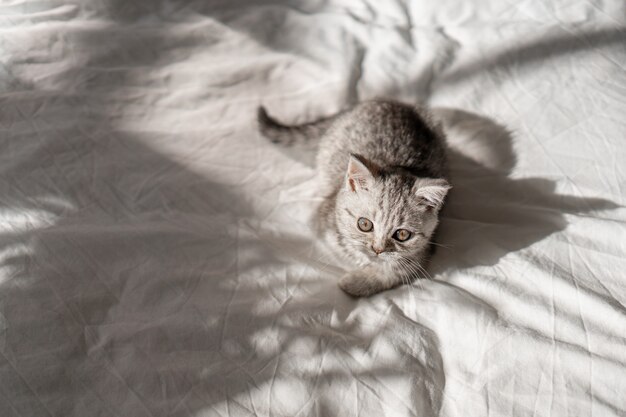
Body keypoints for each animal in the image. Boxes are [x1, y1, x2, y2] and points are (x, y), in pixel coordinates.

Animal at [255, 98, 448, 296]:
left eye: (402, 234)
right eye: (364, 224)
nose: (377, 249)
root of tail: (389, 102)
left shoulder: (425, 251)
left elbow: (396, 271)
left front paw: (354, 281)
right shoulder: (322, 218)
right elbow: (341, 253)